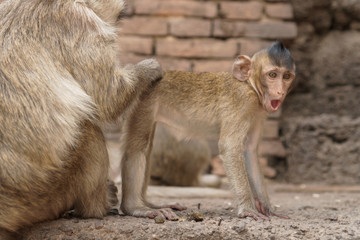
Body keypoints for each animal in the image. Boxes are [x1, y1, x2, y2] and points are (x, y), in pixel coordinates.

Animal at [0, 0, 162, 237]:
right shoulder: (81, 22)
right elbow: (108, 99)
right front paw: (148, 70)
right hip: (41, 196)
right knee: (88, 130)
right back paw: (96, 207)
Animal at [121, 41, 296, 221]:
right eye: (272, 75)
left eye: (286, 76)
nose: (280, 91)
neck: (250, 86)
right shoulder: (243, 102)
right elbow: (230, 147)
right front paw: (248, 209)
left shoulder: (259, 114)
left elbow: (250, 151)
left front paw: (267, 207)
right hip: (143, 99)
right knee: (138, 147)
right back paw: (135, 207)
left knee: (146, 148)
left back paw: (149, 203)